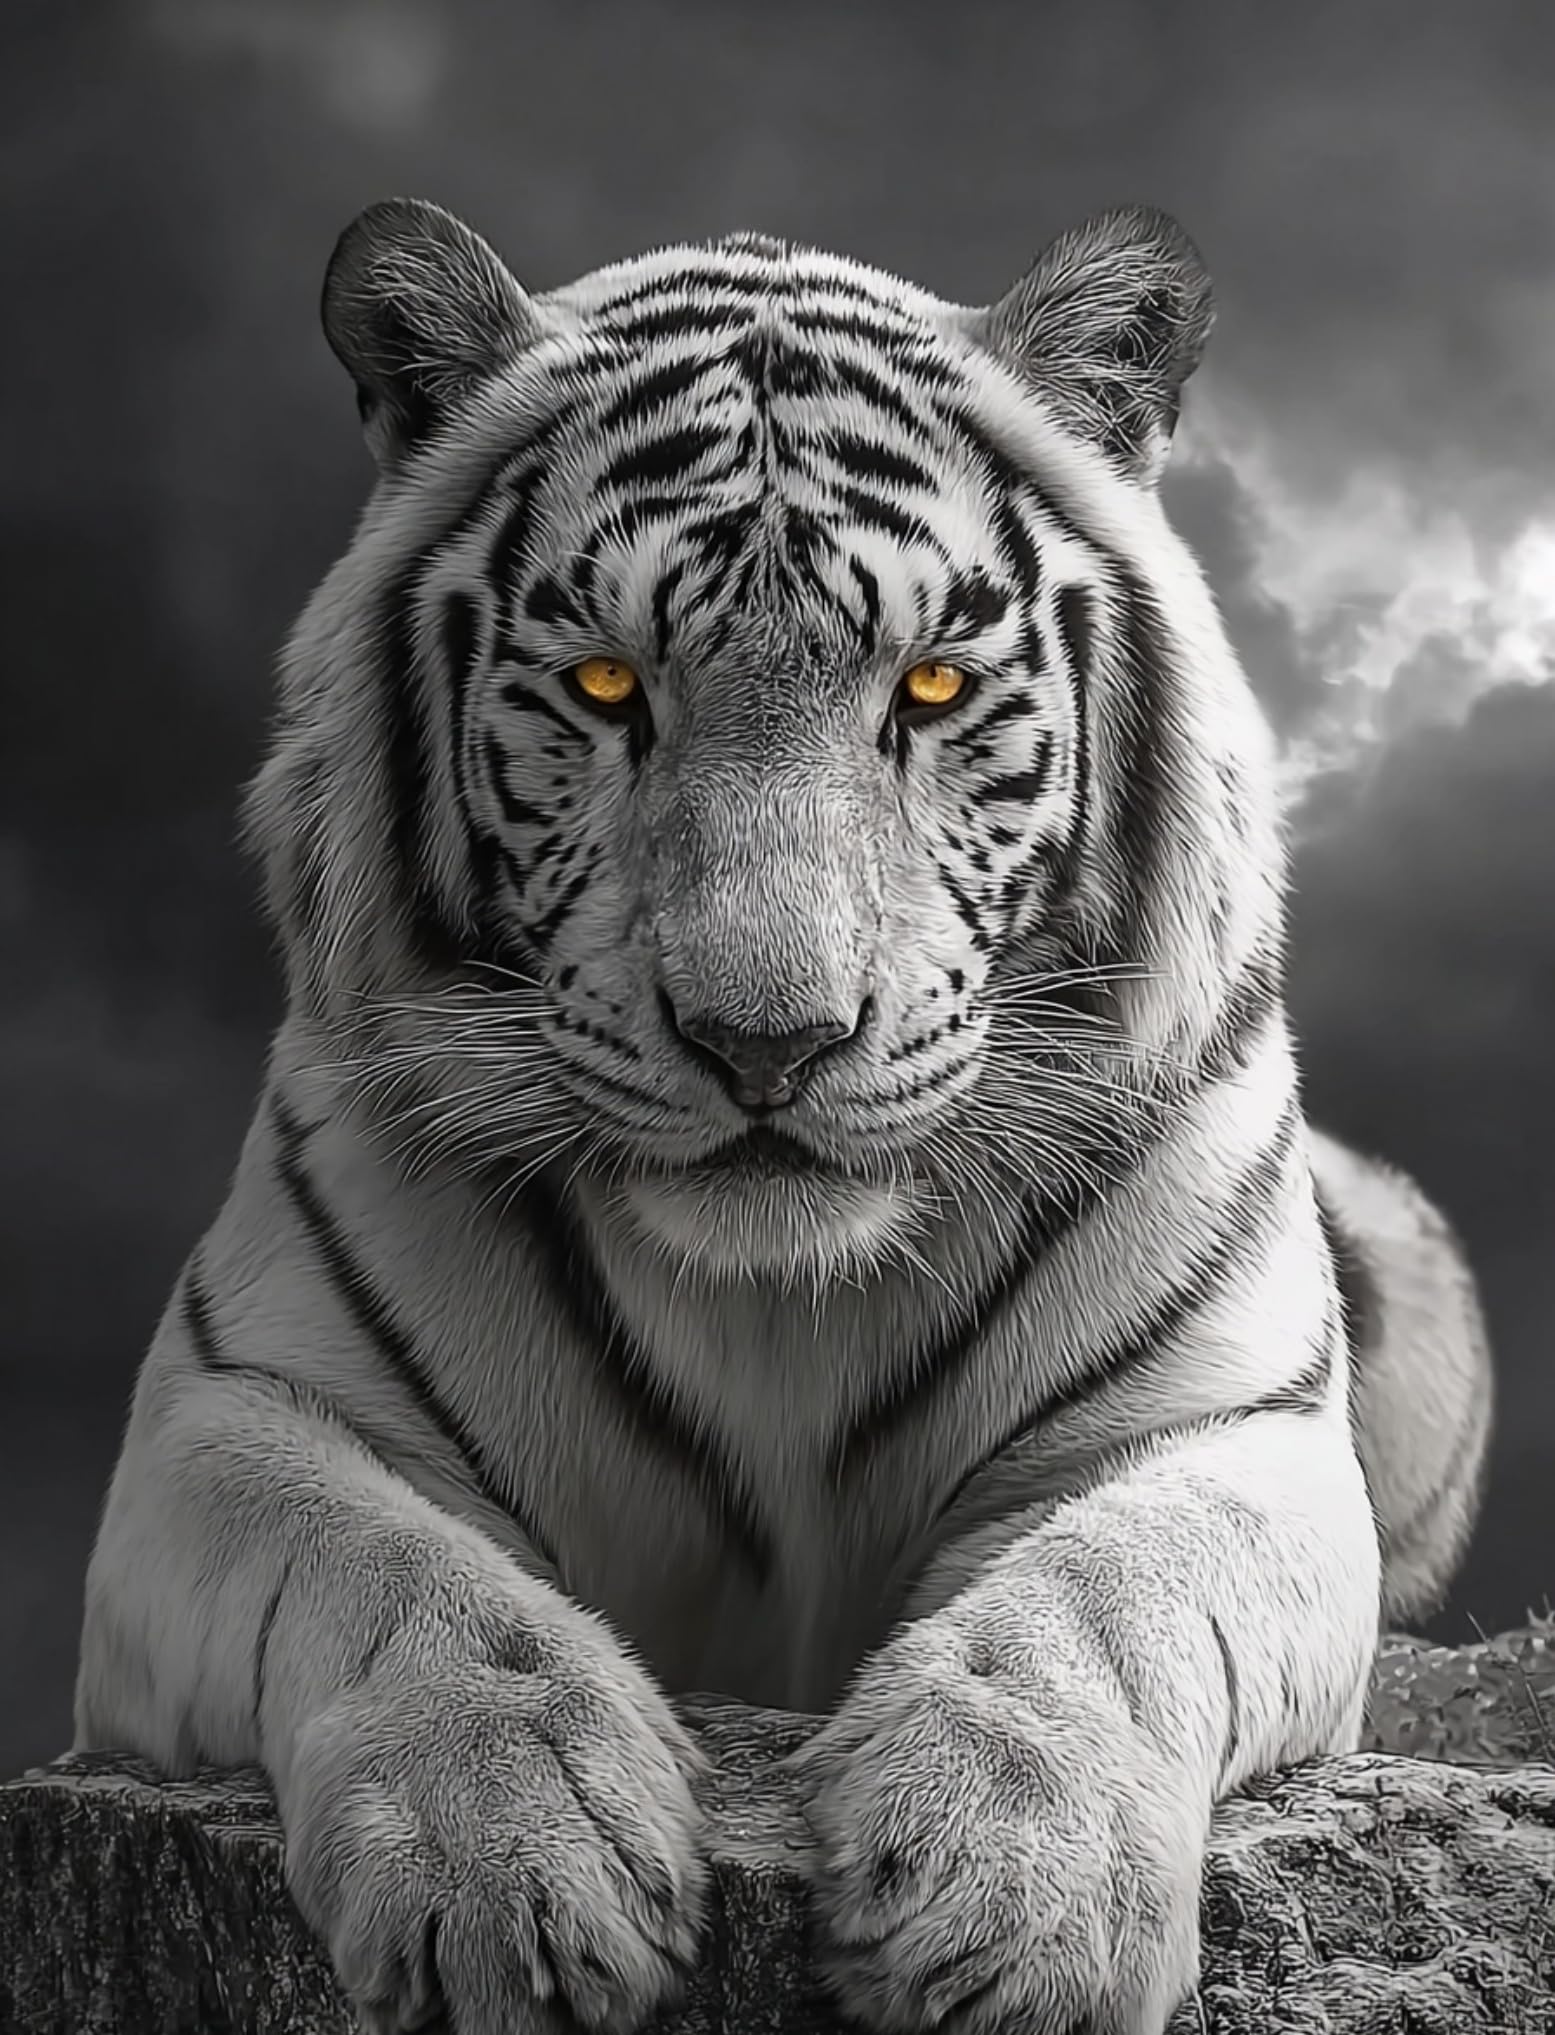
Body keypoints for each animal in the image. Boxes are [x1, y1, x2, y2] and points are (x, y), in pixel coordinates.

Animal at [73, 196, 1493, 2035]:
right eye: (607, 685)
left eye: (936, 689)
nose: (769, 1044)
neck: (775, 1303)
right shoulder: (231, 1415)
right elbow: (387, 1579)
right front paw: (512, 1867)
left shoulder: (1224, 1427)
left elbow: (1101, 1595)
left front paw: (1004, 1894)